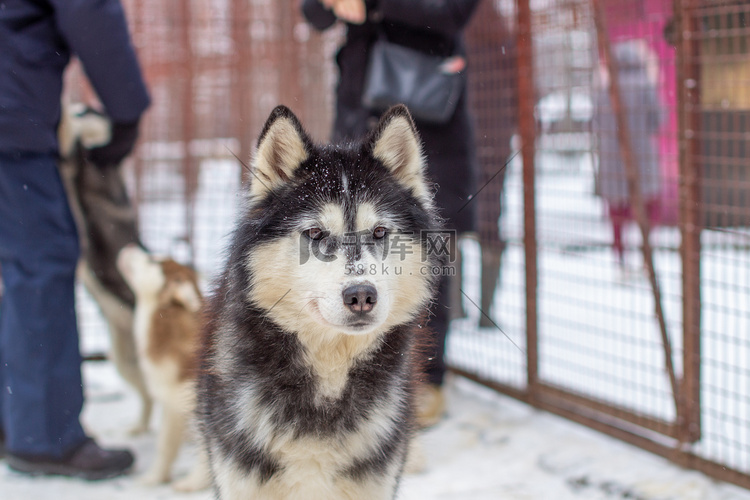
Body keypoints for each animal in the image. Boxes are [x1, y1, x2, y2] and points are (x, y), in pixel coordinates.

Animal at [117, 244, 212, 490]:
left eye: (153, 260)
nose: (129, 246)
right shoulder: (172, 406)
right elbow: (165, 446)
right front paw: (154, 477)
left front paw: (194, 483)